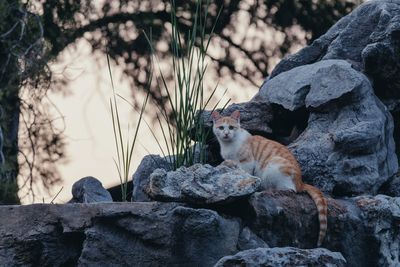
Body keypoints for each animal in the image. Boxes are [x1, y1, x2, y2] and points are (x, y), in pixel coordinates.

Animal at [211, 110, 326, 247]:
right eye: (221, 128)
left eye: (231, 127)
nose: (226, 133)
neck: (229, 145)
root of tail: (301, 182)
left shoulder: (247, 162)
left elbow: (246, 173)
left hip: (273, 164)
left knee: (289, 190)